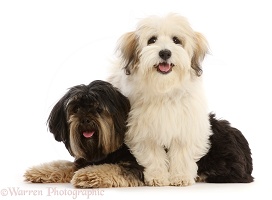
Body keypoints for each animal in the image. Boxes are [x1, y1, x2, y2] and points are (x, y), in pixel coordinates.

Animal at [108, 13, 212, 186]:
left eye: (176, 40)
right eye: (152, 40)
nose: (165, 53)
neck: (164, 90)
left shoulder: (187, 126)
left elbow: (182, 153)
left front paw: (181, 176)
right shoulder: (143, 130)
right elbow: (152, 154)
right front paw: (158, 175)